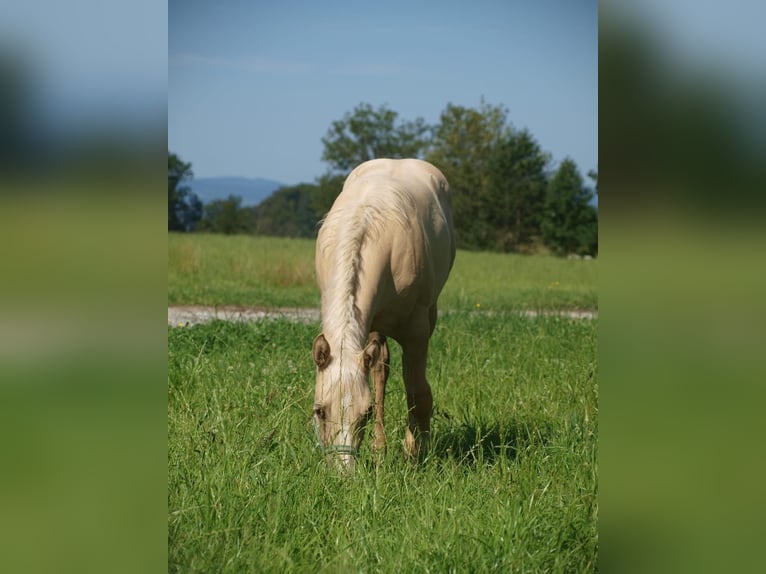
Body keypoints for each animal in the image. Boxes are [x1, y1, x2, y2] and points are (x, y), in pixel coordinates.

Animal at [312, 159, 456, 472]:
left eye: (363, 414)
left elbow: (417, 392)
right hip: (374, 327)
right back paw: (379, 448)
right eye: (319, 411)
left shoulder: (416, 330)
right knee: (379, 371)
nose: (343, 473)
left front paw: (414, 457)